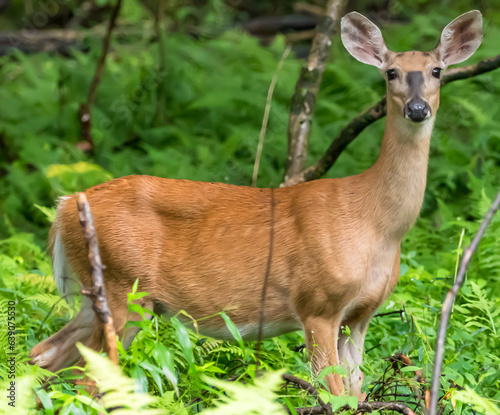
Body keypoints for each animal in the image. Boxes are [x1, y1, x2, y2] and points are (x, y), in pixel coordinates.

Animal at [29, 10, 482, 400]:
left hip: (97, 295)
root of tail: (66, 205)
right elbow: (332, 395)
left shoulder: (360, 316)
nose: (417, 108)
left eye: (437, 71)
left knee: (44, 355)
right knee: (86, 377)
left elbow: (355, 393)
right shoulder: (317, 304)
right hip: (123, 287)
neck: (376, 223)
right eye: (391, 72)